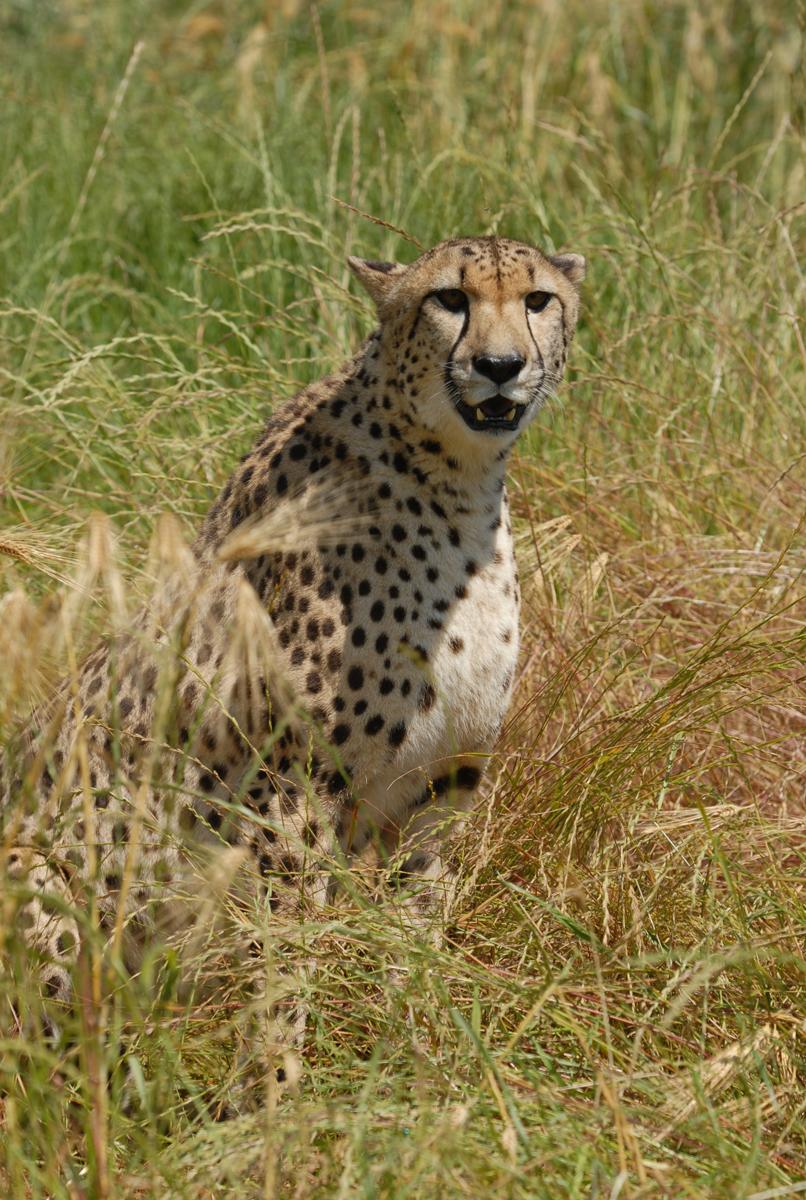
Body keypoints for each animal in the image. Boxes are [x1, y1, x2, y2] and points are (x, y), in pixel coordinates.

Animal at [0, 234, 585, 1041]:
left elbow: (415, 930)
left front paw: (417, 1044)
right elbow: (289, 951)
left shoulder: (439, 788)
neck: (457, 483)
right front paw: (285, 1069)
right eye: (450, 299)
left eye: (538, 300)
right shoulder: (290, 792)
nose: (500, 365)